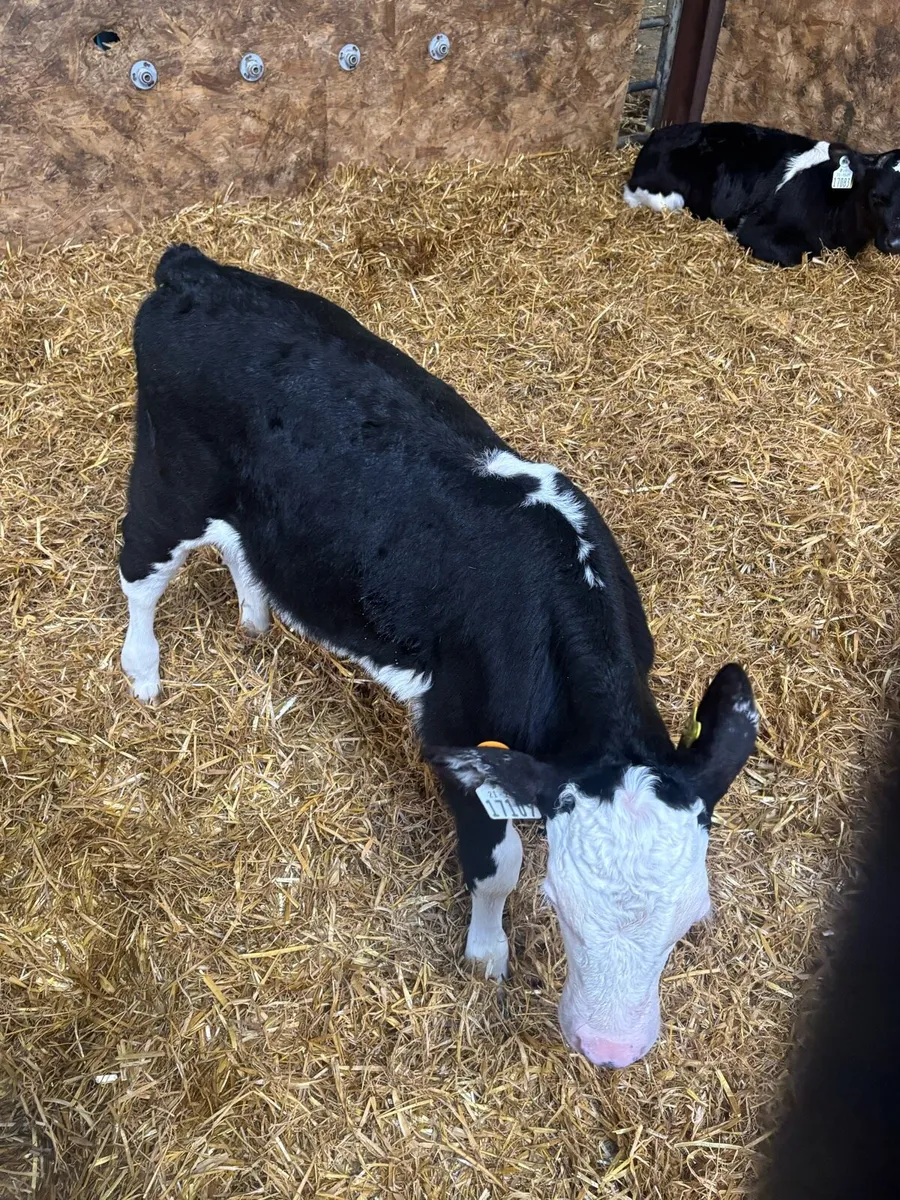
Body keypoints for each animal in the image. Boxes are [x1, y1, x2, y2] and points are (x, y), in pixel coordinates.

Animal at [119, 245, 758, 1068]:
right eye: (560, 907)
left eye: (691, 918)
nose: (610, 1050)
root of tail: (190, 268)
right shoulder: (457, 734)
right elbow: (495, 869)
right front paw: (487, 953)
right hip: (172, 477)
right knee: (139, 567)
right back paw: (142, 671)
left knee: (236, 545)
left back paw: (256, 615)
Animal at [624, 121, 900, 267]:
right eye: (876, 196)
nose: (895, 243)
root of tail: (661, 132)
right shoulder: (755, 230)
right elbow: (799, 255)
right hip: (665, 197)